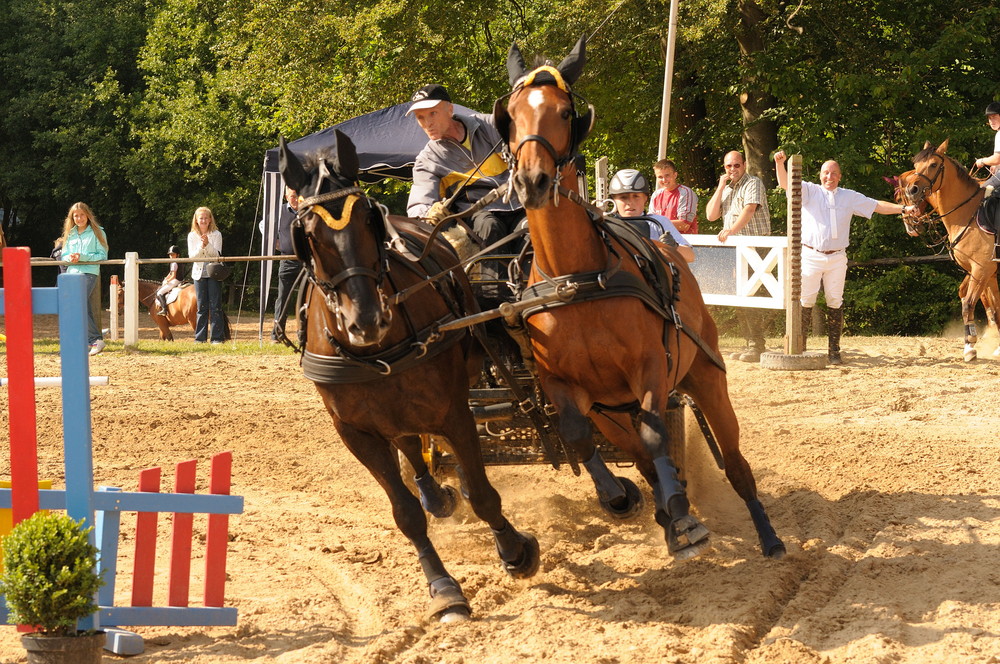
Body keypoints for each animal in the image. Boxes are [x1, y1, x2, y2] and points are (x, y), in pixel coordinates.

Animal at [274, 131, 540, 624]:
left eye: (369, 218)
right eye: (309, 234)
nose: (366, 320)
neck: (377, 352)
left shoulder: (452, 409)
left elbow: (482, 493)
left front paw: (515, 550)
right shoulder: (355, 432)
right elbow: (406, 513)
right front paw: (444, 589)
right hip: (388, 412)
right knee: (412, 447)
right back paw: (437, 495)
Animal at [496, 36, 784, 560]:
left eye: (565, 112)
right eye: (510, 113)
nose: (531, 181)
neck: (575, 281)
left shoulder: (650, 366)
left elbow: (656, 433)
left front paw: (684, 516)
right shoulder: (564, 386)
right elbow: (580, 437)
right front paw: (625, 497)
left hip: (704, 376)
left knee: (733, 462)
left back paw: (766, 535)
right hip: (612, 411)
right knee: (640, 456)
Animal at [904, 137, 996, 360]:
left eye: (933, 165)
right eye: (915, 165)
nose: (912, 190)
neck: (968, 214)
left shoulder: (983, 270)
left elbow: (969, 303)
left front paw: (971, 345)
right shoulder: (982, 273)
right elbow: (985, 305)